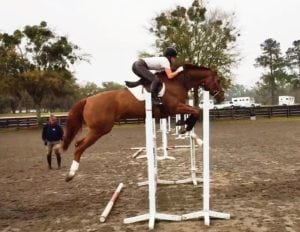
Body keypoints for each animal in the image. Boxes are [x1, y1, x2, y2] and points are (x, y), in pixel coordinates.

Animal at [62, 63, 223, 181]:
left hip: (96, 129)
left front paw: (183, 126)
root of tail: (88, 99)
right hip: (100, 129)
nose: (221, 97)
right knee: (79, 147)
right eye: (218, 80)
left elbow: (194, 111)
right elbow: (196, 110)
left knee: (78, 143)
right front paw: (185, 127)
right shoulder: (174, 107)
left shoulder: (176, 108)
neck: (178, 82)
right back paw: (71, 174)